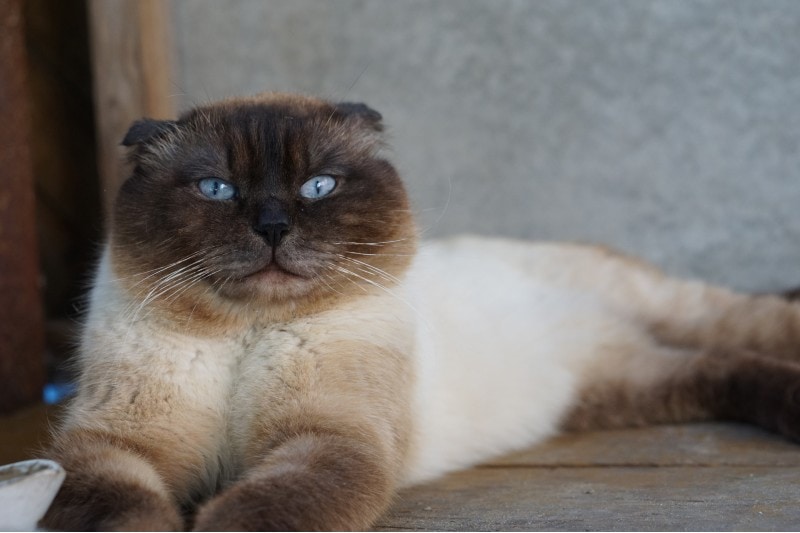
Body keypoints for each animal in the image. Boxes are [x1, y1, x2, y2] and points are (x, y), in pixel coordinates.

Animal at [43, 91, 800, 528]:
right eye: (216, 188)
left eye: (319, 187)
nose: (272, 226)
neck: (248, 334)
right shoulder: (116, 444)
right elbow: (119, 510)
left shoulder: (328, 437)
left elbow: (266, 508)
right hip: (625, 385)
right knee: (721, 367)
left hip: (675, 314)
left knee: (753, 328)